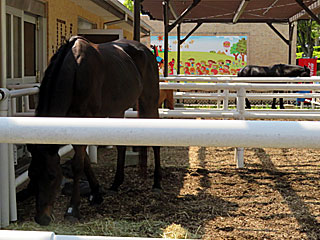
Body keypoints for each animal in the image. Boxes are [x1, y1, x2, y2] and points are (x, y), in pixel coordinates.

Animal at [25, 36, 161, 226]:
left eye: (52, 176)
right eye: (31, 174)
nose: (41, 219)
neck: (75, 71)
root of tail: (147, 50)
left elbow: (78, 164)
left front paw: (73, 209)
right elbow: (85, 161)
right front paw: (96, 193)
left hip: (149, 102)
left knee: (156, 142)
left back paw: (157, 184)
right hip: (117, 110)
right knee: (120, 146)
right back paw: (115, 184)